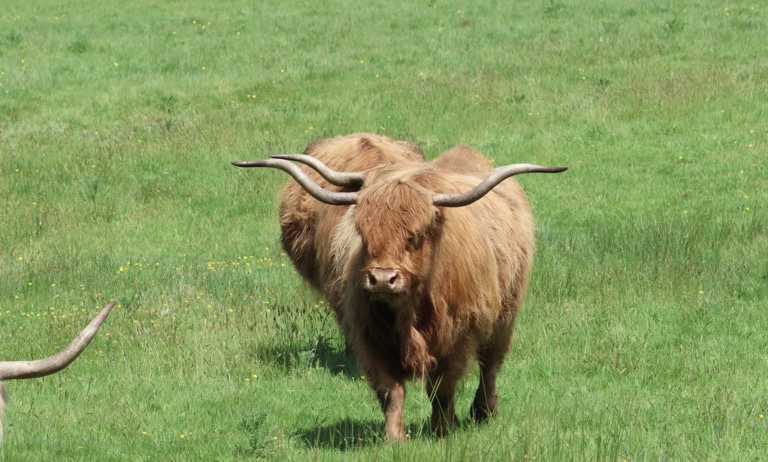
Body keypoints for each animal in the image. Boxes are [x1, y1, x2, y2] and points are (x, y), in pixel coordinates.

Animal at [234, 137, 564, 440]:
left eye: (414, 237)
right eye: (363, 233)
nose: (382, 279)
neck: (410, 308)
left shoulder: (459, 335)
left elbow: (441, 388)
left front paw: (441, 431)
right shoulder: (369, 336)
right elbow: (390, 391)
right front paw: (395, 438)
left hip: (505, 316)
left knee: (490, 363)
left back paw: (484, 411)